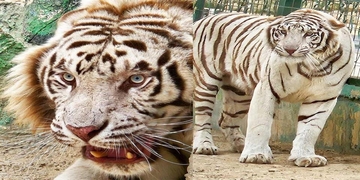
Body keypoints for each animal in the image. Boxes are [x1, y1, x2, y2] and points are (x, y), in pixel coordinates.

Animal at [194, 8, 354, 166]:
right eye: (283, 32)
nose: (289, 49)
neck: (311, 67)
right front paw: (256, 155)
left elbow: (310, 129)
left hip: (239, 95)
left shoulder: (322, 98)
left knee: (225, 121)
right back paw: (204, 146)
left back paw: (241, 144)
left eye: (309, 34)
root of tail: (204, 19)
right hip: (206, 82)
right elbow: (260, 123)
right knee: (202, 117)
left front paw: (305, 156)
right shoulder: (266, 88)